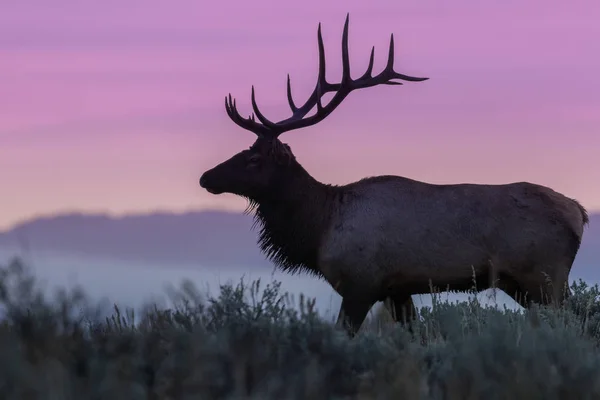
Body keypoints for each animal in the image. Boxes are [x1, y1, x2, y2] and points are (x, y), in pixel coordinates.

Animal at [199, 14, 588, 336]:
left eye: (254, 158)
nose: (205, 177)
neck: (319, 228)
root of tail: (580, 212)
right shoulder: (397, 290)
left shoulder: (361, 283)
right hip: (521, 284)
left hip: (545, 276)